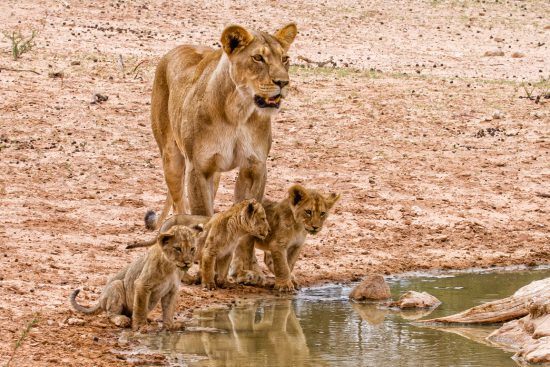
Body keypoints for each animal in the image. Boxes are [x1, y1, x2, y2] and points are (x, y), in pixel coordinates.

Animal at [148, 23, 298, 229]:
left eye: (285, 59)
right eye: (258, 58)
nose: (283, 82)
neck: (238, 112)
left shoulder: (255, 167)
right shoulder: (198, 169)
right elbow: (201, 215)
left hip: (215, 173)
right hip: (172, 160)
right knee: (179, 205)